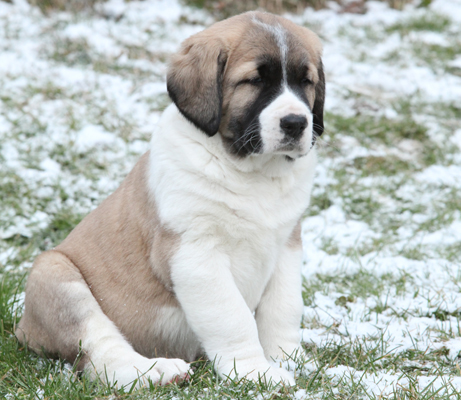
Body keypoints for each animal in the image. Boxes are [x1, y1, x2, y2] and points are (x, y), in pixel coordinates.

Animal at [16, 11, 326, 388]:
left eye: (306, 82)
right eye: (253, 81)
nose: (296, 123)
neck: (250, 172)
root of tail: (23, 328)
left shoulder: (287, 245)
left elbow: (283, 308)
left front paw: (289, 359)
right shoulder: (194, 253)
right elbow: (232, 316)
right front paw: (254, 370)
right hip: (54, 274)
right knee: (100, 355)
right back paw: (157, 371)